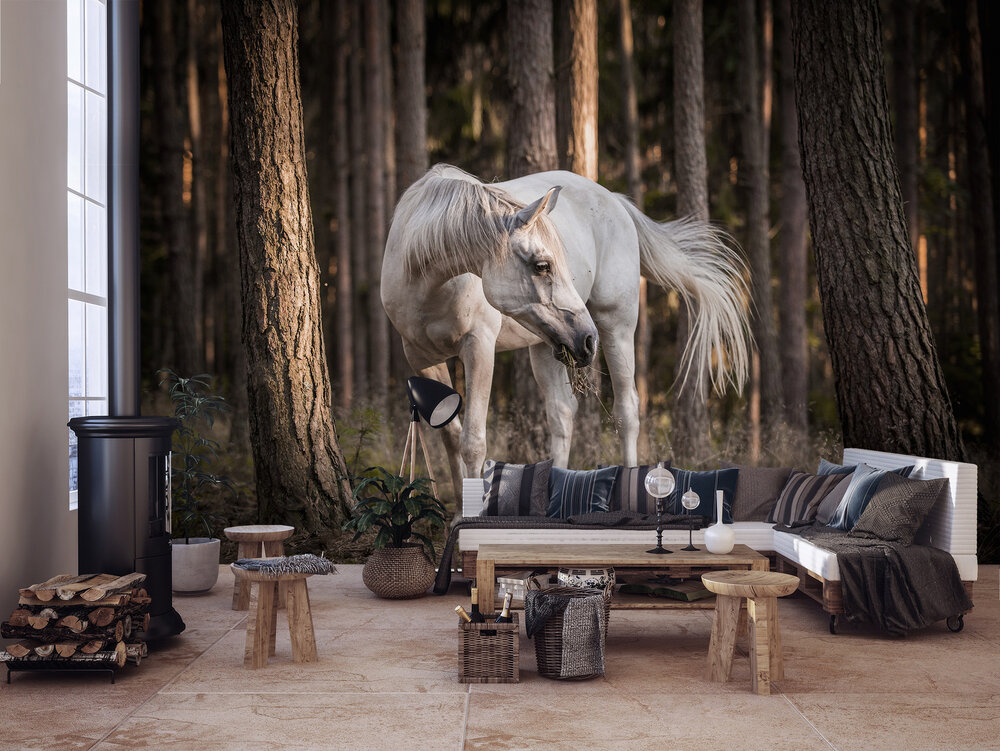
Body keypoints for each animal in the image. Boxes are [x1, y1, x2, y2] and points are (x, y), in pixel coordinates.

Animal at [381, 164, 749, 496]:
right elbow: (452, 438)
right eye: (542, 265)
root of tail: (615, 200)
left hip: (616, 326)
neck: (427, 279)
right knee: (562, 415)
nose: (587, 339)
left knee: (627, 410)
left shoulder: (478, 348)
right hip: (547, 344)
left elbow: (473, 442)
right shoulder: (422, 359)